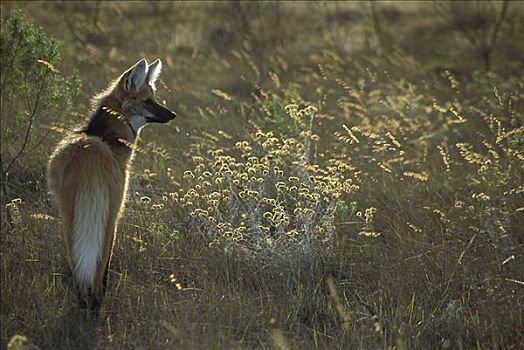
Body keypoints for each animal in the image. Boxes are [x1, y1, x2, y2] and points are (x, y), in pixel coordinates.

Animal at [46, 58, 176, 310]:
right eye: (149, 101)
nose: (173, 114)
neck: (106, 137)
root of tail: (89, 153)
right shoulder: (116, 213)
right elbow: (105, 262)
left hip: (70, 215)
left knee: (77, 259)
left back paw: (83, 300)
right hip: (107, 214)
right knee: (97, 265)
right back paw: (95, 303)